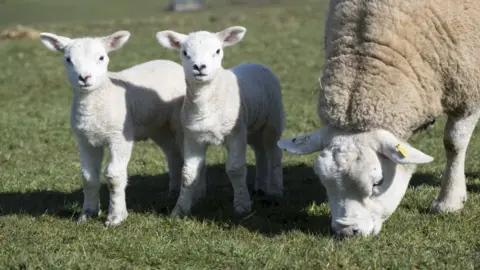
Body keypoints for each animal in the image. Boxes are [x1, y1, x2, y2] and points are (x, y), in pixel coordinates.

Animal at [39, 30, 188, 227]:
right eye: (68, 59)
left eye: (101, 57)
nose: (84, 77)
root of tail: (170, 63)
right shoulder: (85, 139)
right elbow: (88, 177)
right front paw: (87, 214)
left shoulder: (119, 136)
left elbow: (114, 176)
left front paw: (116, 217)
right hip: (157, 126)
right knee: (172, 153)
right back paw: (173, 192)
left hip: (177, 121)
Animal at [157, 26, 284, 216]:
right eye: (185, 52)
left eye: (217, 51)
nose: (199, 67)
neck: (206, 103)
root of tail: (256, 64)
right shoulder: (193, 137)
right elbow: (188, 174)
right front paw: (179, 210)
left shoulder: (235, 133)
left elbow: (235, 169)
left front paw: (242, 205)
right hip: (252, 127)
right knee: (260, 152)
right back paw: (260, 187)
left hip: (273, 121)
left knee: (273, 151)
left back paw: (275, 190)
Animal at [276, 0, 480, 236]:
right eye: (322, 179)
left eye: (378, 182)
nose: (348, 230)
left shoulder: (469, 88)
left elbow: (454, 144)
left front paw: (449, 202)